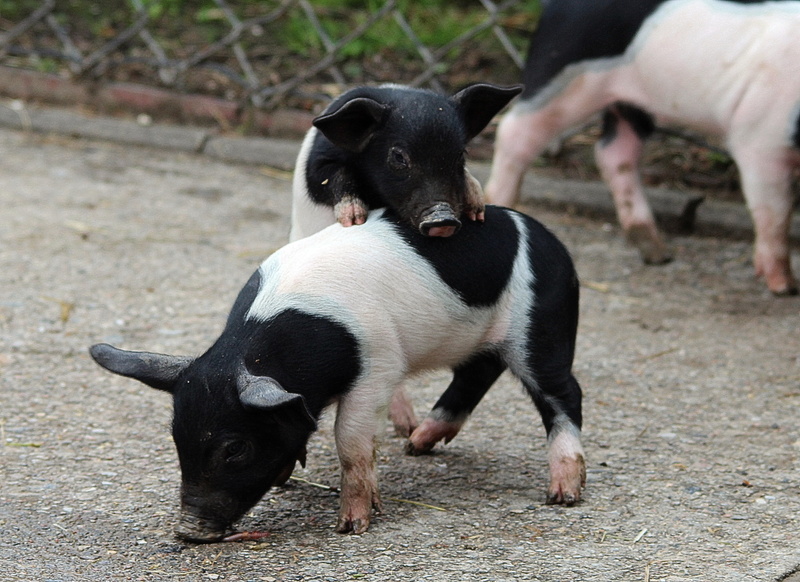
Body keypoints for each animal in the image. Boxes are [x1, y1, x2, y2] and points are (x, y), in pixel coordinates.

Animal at [89, 205, 585, 542]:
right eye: (176, 438)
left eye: (235, 448)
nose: (188, 530)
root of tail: (554, 243)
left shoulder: (379, 365)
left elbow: (350, 440)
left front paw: (352, 525)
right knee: (478, 372)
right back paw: (417, 444)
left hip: (542, 326)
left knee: (564, 392)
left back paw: (563, 495)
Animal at [290, 82, 522, 241]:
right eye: (399, 157)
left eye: (461, 154)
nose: (443, 219)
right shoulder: (320, 161)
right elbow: (331, 176)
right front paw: (354, 220)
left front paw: (477, 212)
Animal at [486, 0, 800, 295]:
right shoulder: (761, 137)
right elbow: (776, 210)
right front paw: (784, 287)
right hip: (563, 72)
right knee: (515, 131)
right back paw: (500, 201)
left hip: (630, 102)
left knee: (614, 152)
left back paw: (657, 253)